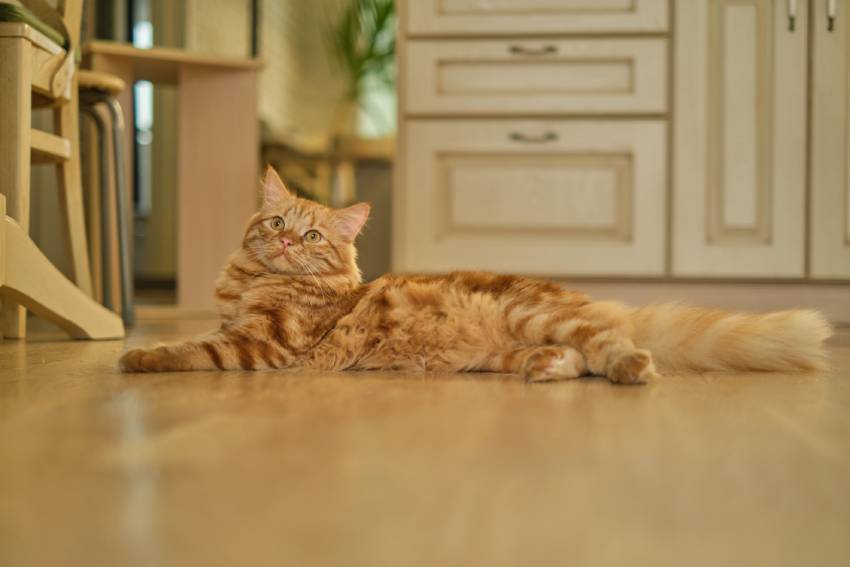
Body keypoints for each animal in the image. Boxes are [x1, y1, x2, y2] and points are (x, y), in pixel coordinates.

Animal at [117, 166, 828, 384]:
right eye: (275, 224)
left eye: (312, 236)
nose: (288, 240)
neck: (254, 281)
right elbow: (201, 336)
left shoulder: (265, 342)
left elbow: (191, 349)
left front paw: (137, 357)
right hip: (503, 349)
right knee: (575, 358)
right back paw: (546, 370)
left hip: (536, 314)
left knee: (611, 347)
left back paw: (631, 368)